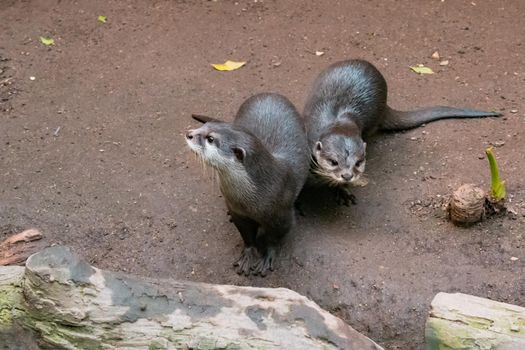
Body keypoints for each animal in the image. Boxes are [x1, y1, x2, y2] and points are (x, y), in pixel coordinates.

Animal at [185, 93, 310, 276]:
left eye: (211, 139)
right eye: (205, 126)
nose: (189, 134)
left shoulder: (282, 216)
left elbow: (275, 238)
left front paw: (267, 257)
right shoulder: (238, 211)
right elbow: (246, 235)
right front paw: (248, 255)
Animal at [302, 58, 500, 204]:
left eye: (358, 162)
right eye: (333, 161)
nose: (347, 175)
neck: (338, 118)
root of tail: (385, 107)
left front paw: (342, 191)